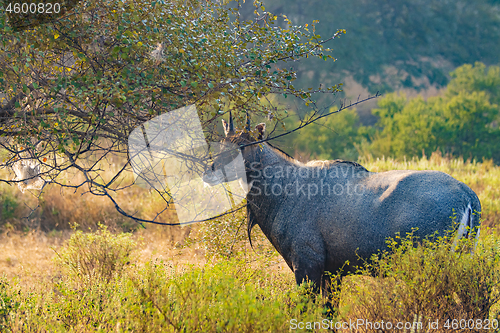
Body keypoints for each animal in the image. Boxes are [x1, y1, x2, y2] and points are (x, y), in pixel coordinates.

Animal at [202, 113, 480, 292]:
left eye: (243, 146)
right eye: (222, 144)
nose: (209, 172)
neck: (286, 187)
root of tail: (467, 194)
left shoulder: (307, 266)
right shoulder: (332, 273)